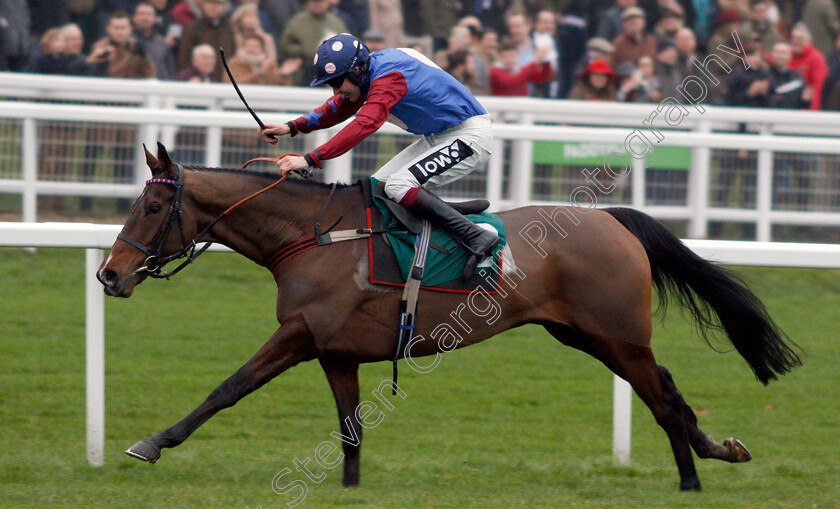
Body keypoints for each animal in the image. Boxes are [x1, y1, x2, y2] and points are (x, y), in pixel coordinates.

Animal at [97, 142, 800, 488]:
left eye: (152, 209)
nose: (109, 274)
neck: (311, 236)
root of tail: (611, 218)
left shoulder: (298, 334)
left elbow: (227, 387)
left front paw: (152, 442)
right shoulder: (335, 350)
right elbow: (350, 430)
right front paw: (350, 486)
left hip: (617, 334)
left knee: (663, 400)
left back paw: (691, 479)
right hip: (587, 335)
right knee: (671, 391)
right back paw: (718, 450)